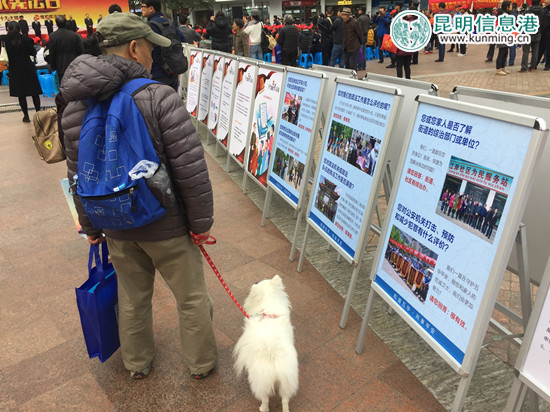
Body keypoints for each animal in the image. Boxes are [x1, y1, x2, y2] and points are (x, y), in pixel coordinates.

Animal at [235, 276, 300, 412]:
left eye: (259, 282)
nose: (255, 281)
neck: (267, 308)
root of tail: (273, 357)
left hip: (260, 381)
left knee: (265, 399)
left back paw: (262, 408)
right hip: (287, 381)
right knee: (285, 400)